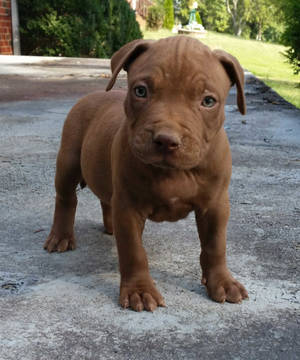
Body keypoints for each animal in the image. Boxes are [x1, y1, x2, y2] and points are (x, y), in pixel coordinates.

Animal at [44, 37, 248, 312]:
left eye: (208, 101)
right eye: (141, 91)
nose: (166, 140)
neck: (173, 173)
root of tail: (94, 94)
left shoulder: (215, 205)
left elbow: (215, 245)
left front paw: (223, 282)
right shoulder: (129, 206)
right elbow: (133, 251)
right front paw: (139, 291)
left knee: (106, 198)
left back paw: (110, 227)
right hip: (68, 160)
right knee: (66, 199)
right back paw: (60, 237)